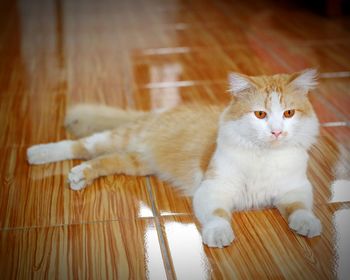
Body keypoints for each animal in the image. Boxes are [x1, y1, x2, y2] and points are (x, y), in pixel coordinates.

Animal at [27, 69, 322, 247]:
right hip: (119, 138)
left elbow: (300, 208)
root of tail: (155, 114)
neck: (264, 157)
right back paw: (39, 154)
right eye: (260, 114)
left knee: (104, 160)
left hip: (137, 163)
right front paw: (219, 235)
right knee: (80, 146)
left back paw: (80, 176)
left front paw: (307, 225)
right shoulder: (213, 188)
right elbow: (217, 215)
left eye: (288, 114)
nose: (276, 132)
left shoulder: (296, 187)